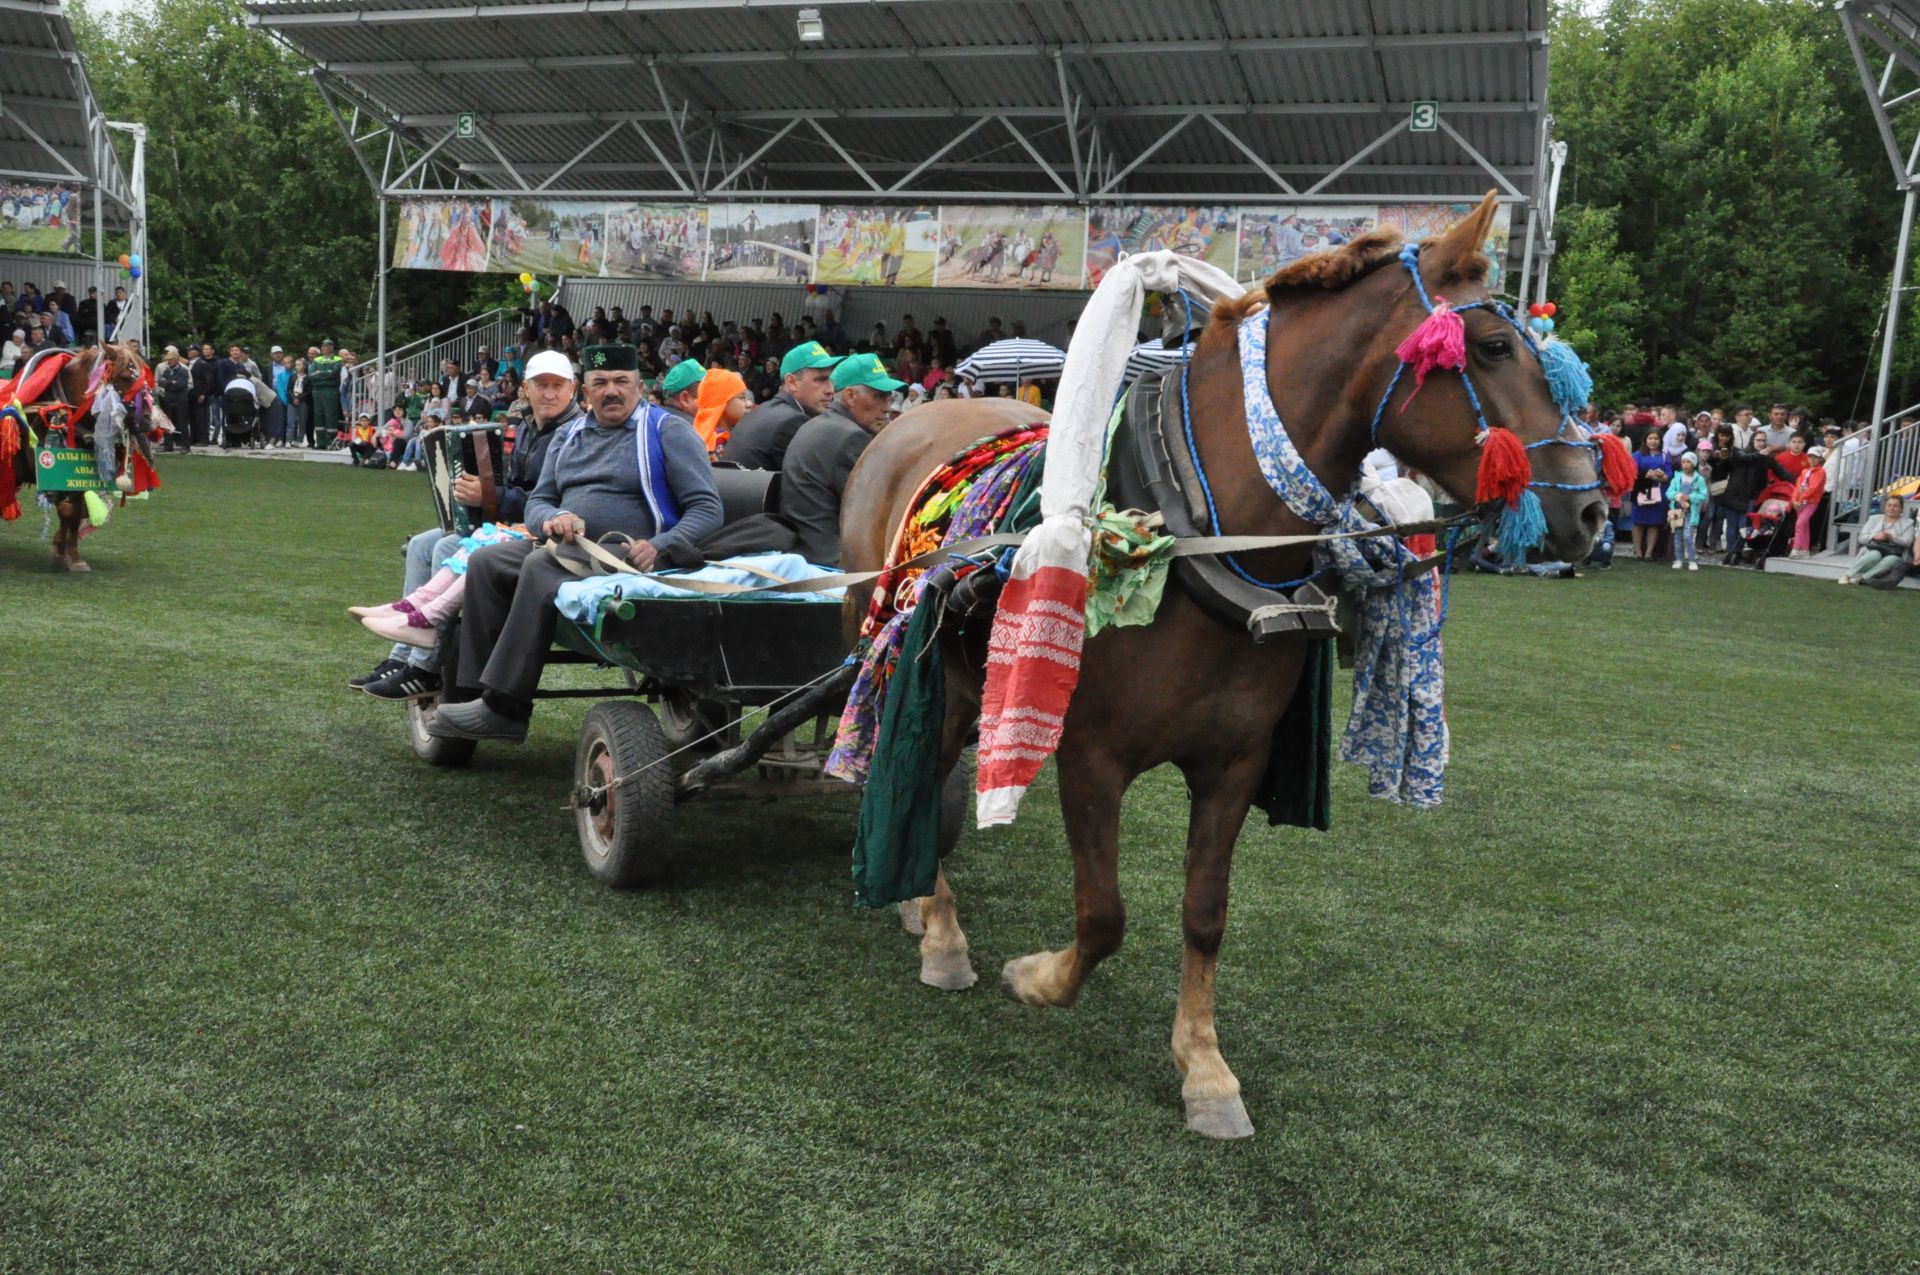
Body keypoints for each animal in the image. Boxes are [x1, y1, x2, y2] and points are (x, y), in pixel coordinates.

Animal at [4, 343, 149, 572]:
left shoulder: (78, 477)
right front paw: (59, 554)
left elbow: (75, 514)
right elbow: (66, 510)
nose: (148, 420)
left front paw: (71, 555)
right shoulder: (52, 474)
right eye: (125, 376)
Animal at [840, 193, 1605, 1136]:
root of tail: (907, 421)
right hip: (919, 661)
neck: (1200, 528)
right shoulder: (1090, 755)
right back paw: (938, 924)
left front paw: (1204, 1067)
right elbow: (1104, 913)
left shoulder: (1234, 760)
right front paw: (1043, 979)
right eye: (1495, 347)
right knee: (911, 760)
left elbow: (1205, 915)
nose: (1595, 511)